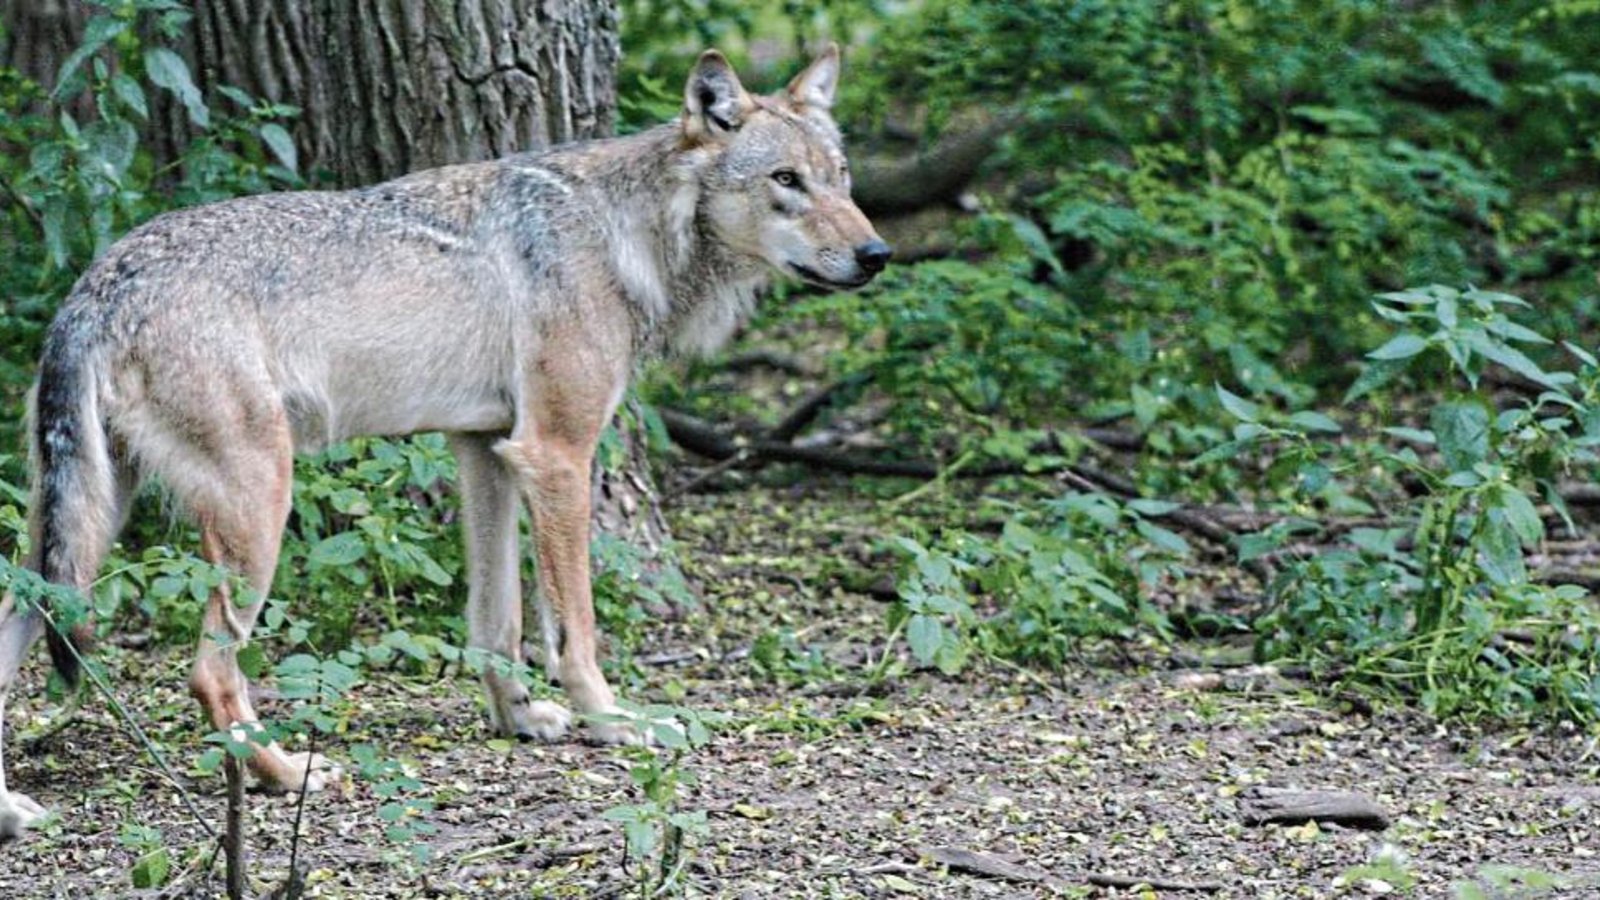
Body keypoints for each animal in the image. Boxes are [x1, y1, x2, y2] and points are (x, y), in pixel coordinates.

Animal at [0, 44, 889, 837]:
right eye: (786, 181)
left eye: (843, 177)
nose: (877, 253)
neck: (625, 232)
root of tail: (95, 286)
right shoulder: (558, 456)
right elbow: (574, 628)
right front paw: (611, 722)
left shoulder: (485, 451)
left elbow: (496, 621)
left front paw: (520, 720)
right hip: (256, 510)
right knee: (211, 673)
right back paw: (289, 774)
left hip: (74, 537)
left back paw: (14, 813)